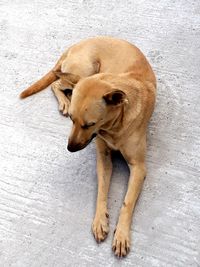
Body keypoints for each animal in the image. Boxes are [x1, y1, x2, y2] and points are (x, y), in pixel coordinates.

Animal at [20, 36, 158, 258]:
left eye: (89, 124)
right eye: (72, 120)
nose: (69, 148)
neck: (113, 127)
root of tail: (76, 45)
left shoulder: (139, 167)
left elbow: (127, 202)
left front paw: (121, 235)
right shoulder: (103, 159)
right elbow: (102, 190)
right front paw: (100, 220)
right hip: (85, 70)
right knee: (57, 83)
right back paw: (64, 102)